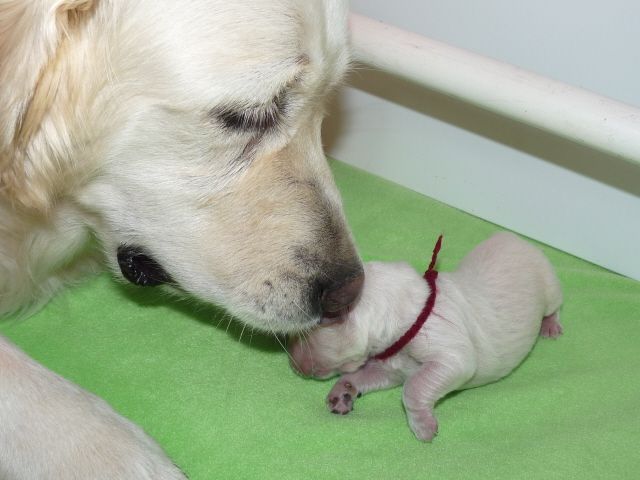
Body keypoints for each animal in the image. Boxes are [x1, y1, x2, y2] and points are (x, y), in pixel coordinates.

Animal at [288, 233, 564, 442]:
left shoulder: (448, 350)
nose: (292, 365)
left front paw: (424, 427)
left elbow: (414, 386)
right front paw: (343, 391)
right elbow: (368, 376)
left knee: (555, 305)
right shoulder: (390, 367)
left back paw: (551, 326)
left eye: (303, 334)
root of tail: (516, 238)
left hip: (548, 284)